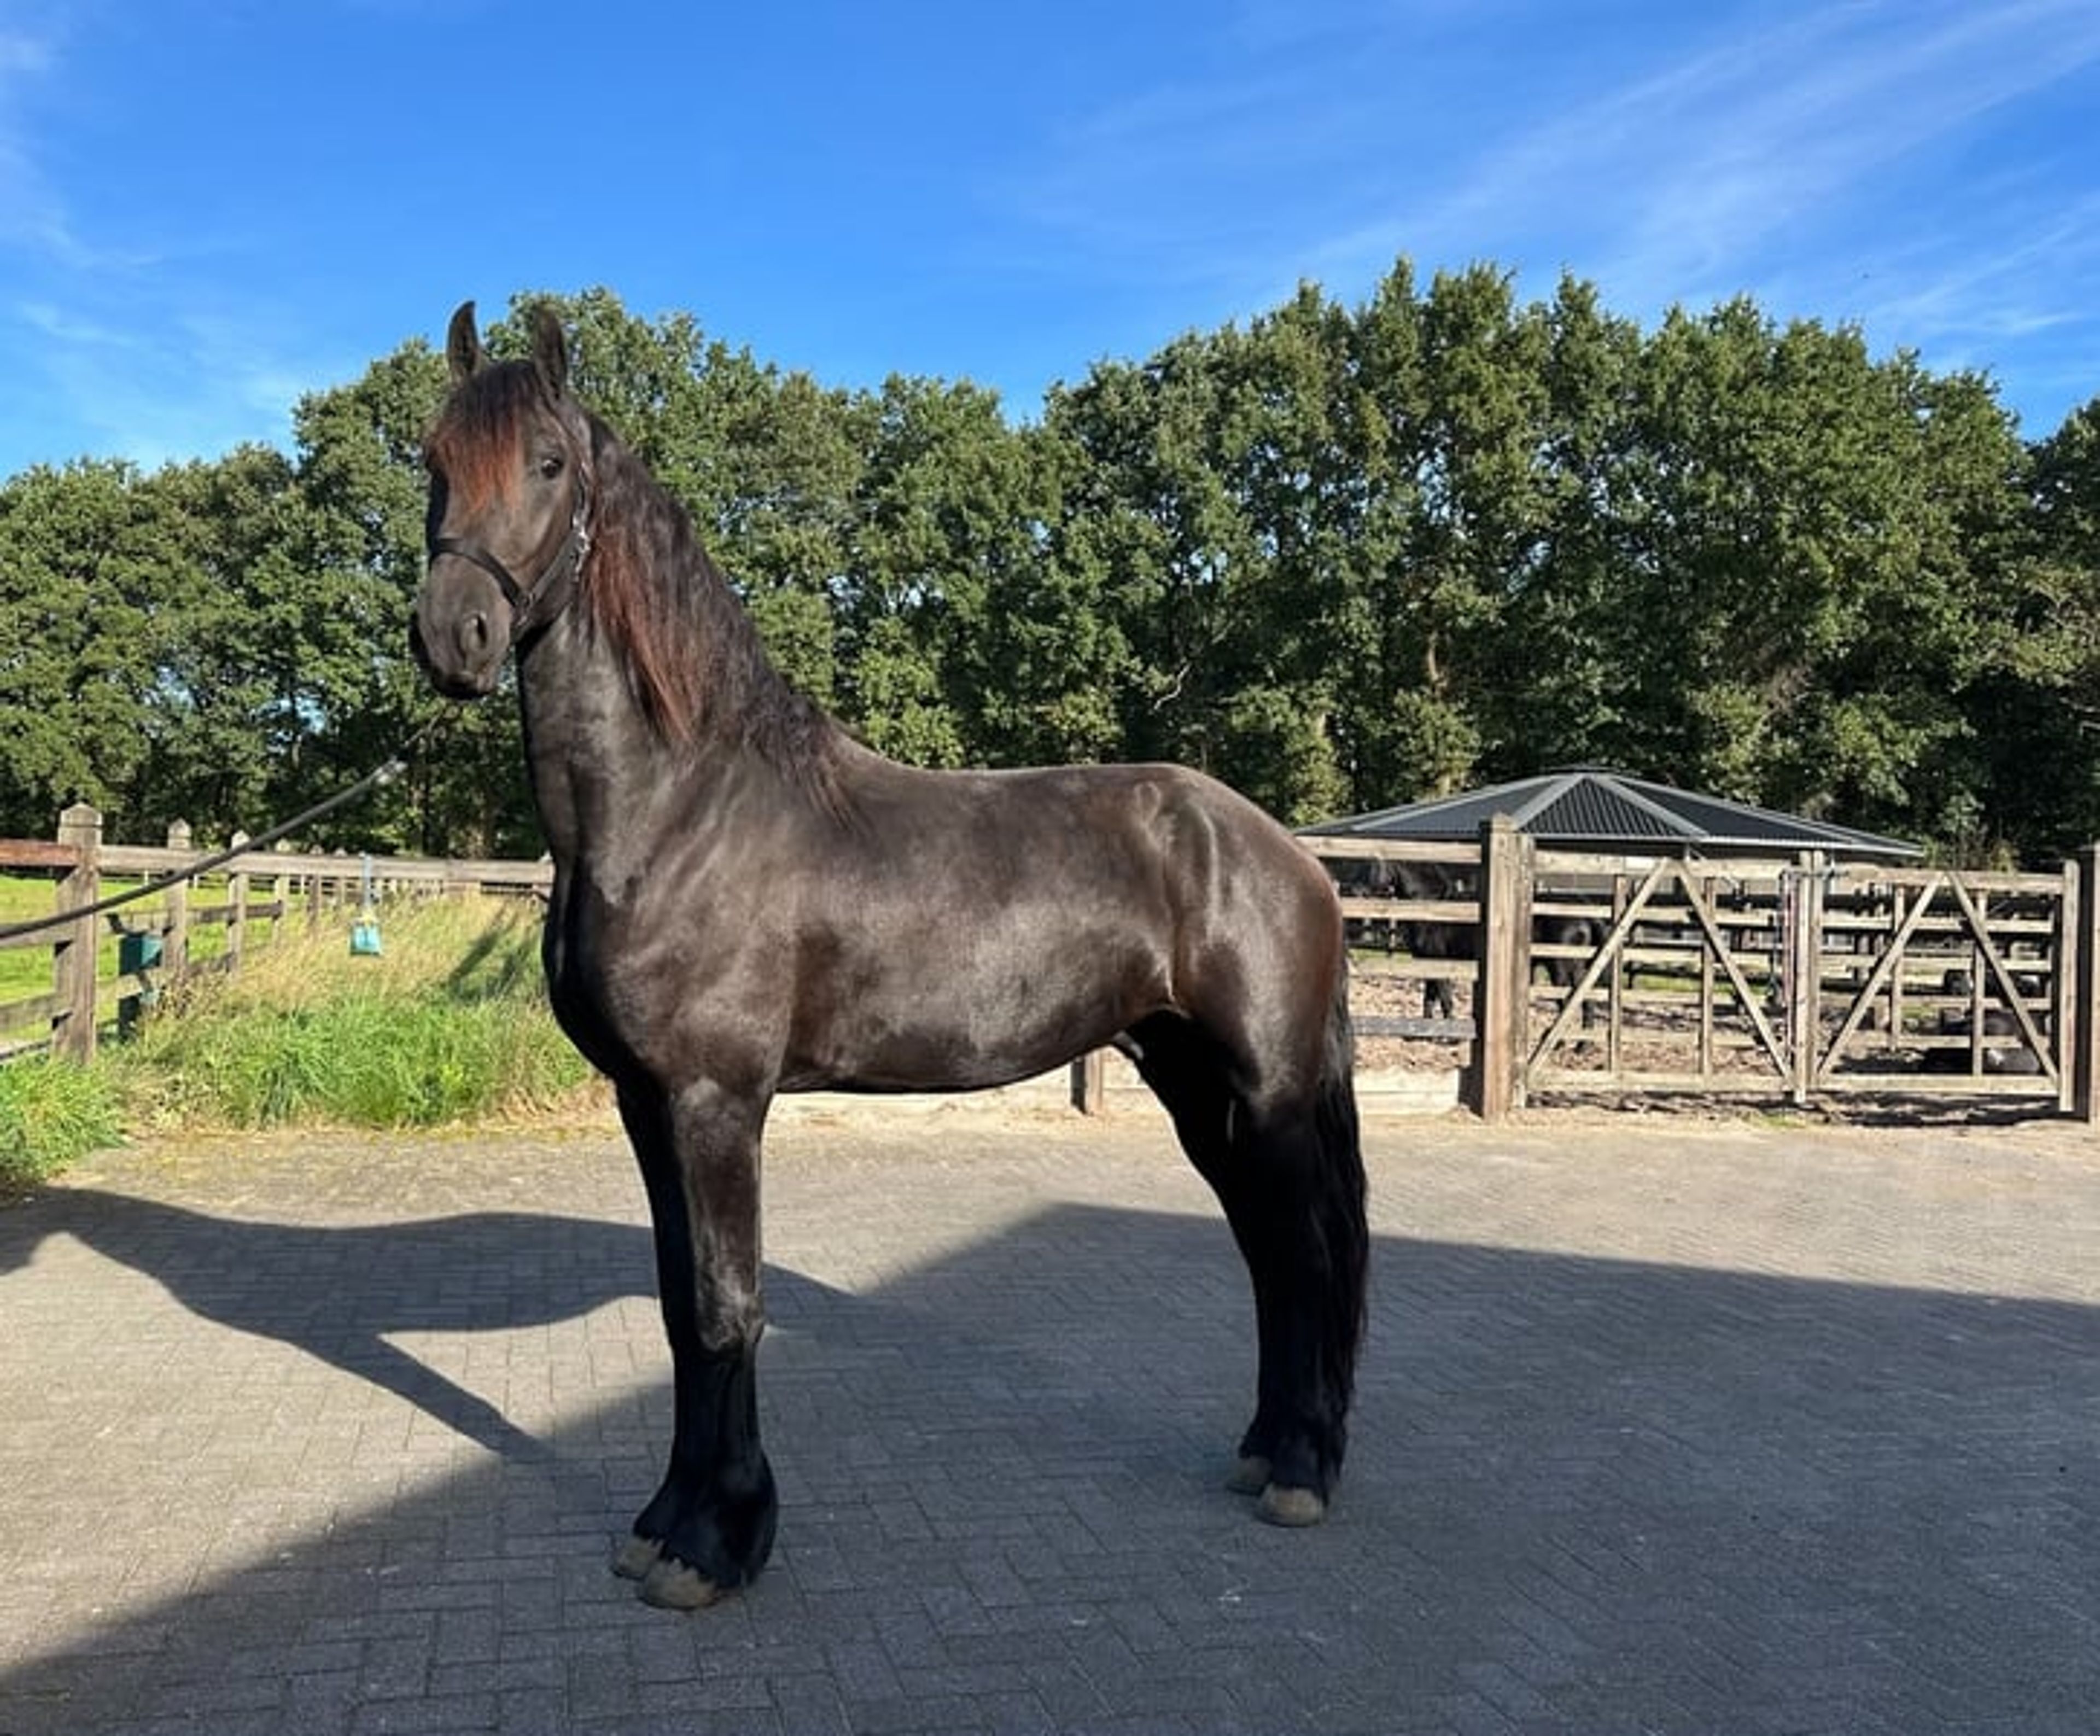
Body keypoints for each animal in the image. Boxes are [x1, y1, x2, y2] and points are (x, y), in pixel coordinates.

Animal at [409, 303, 1369, 1612]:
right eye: (432, 462)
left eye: (549, 465)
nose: (452, 636)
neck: (680, 806)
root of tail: (1290, 855)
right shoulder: (647, 1104)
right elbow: (677, 1308)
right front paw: (666, 1524)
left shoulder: (716, 1102)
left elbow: (727, 1308)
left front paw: (718, 1542)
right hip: (1196, 1090)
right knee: (1271, 1258)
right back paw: (1267, 1449)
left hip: (1265, 1094)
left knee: (1307, 1258)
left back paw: (1305, 1473)